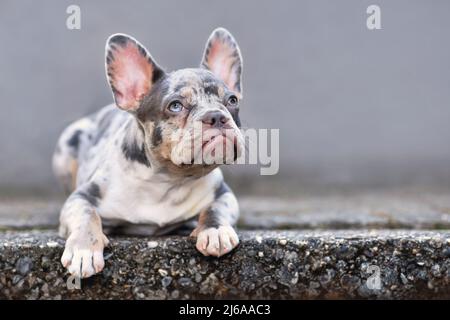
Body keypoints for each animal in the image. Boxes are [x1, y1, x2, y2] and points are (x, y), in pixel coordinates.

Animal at [51, 27, 246, 278]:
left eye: (232, 100)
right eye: (175, 105)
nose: (217, 116)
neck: (167, 180)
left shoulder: (223, 194)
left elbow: (216, 208)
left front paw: (215, 231)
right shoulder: (81, 197)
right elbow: (87, 214)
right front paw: (83, 249)